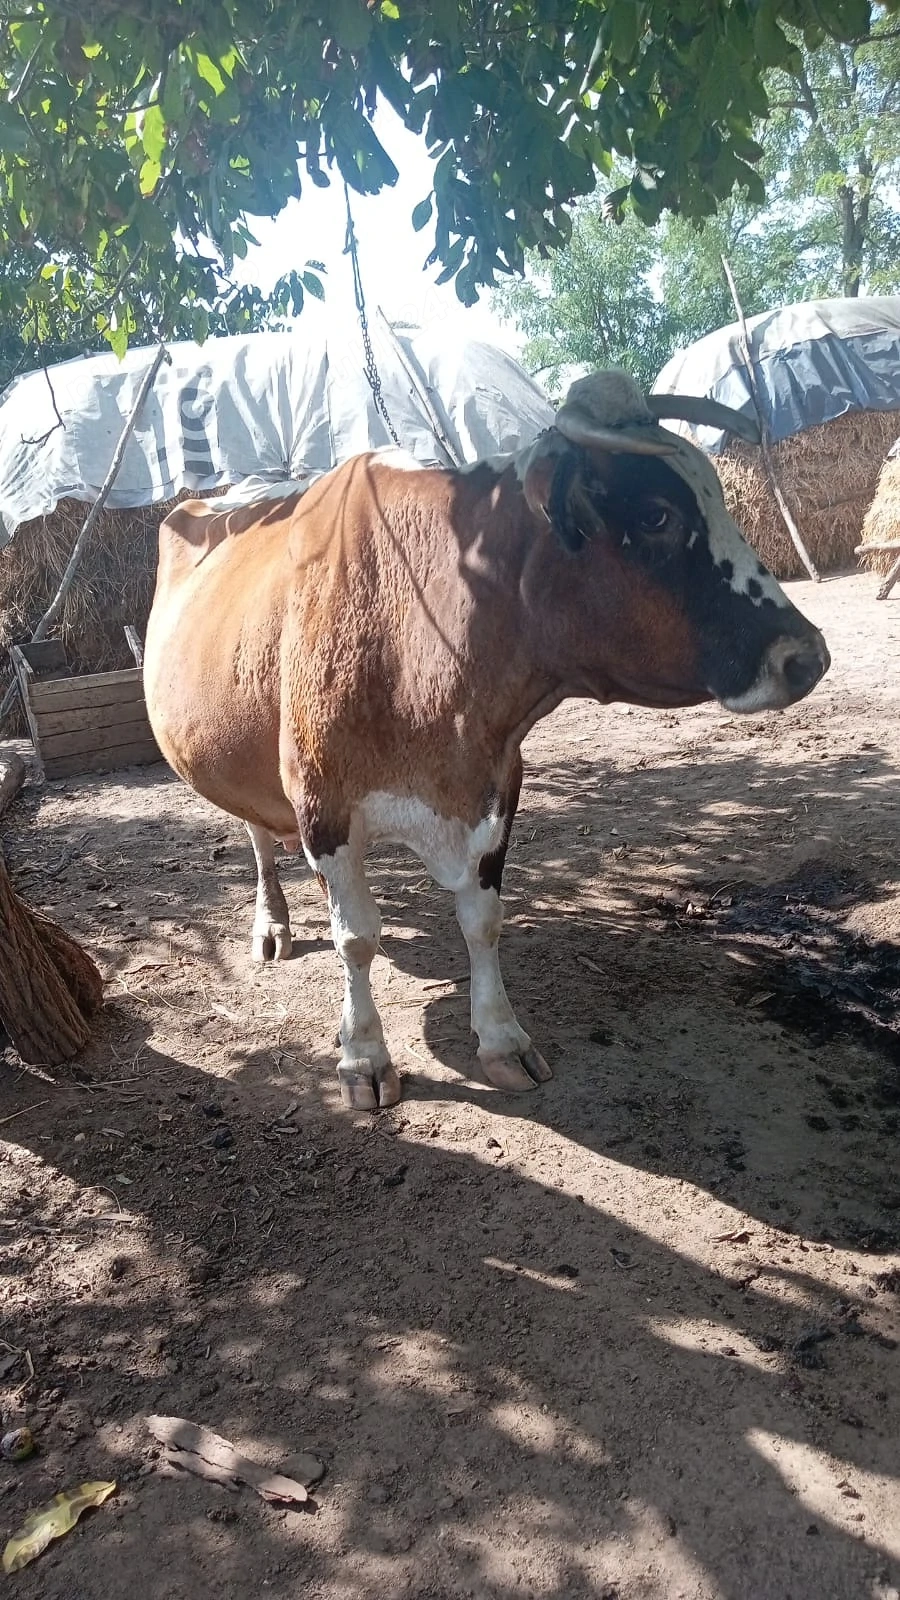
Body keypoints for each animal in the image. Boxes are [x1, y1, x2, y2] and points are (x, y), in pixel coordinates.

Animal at [143, 370, 829, 1110]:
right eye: (655, 516)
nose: (806, 656)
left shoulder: (496, 786)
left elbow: (483, 919)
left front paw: (501, 1038)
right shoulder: (323, 803)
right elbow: (355, 938)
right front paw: (363, 1054)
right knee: (259, 839)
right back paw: (271, 923)